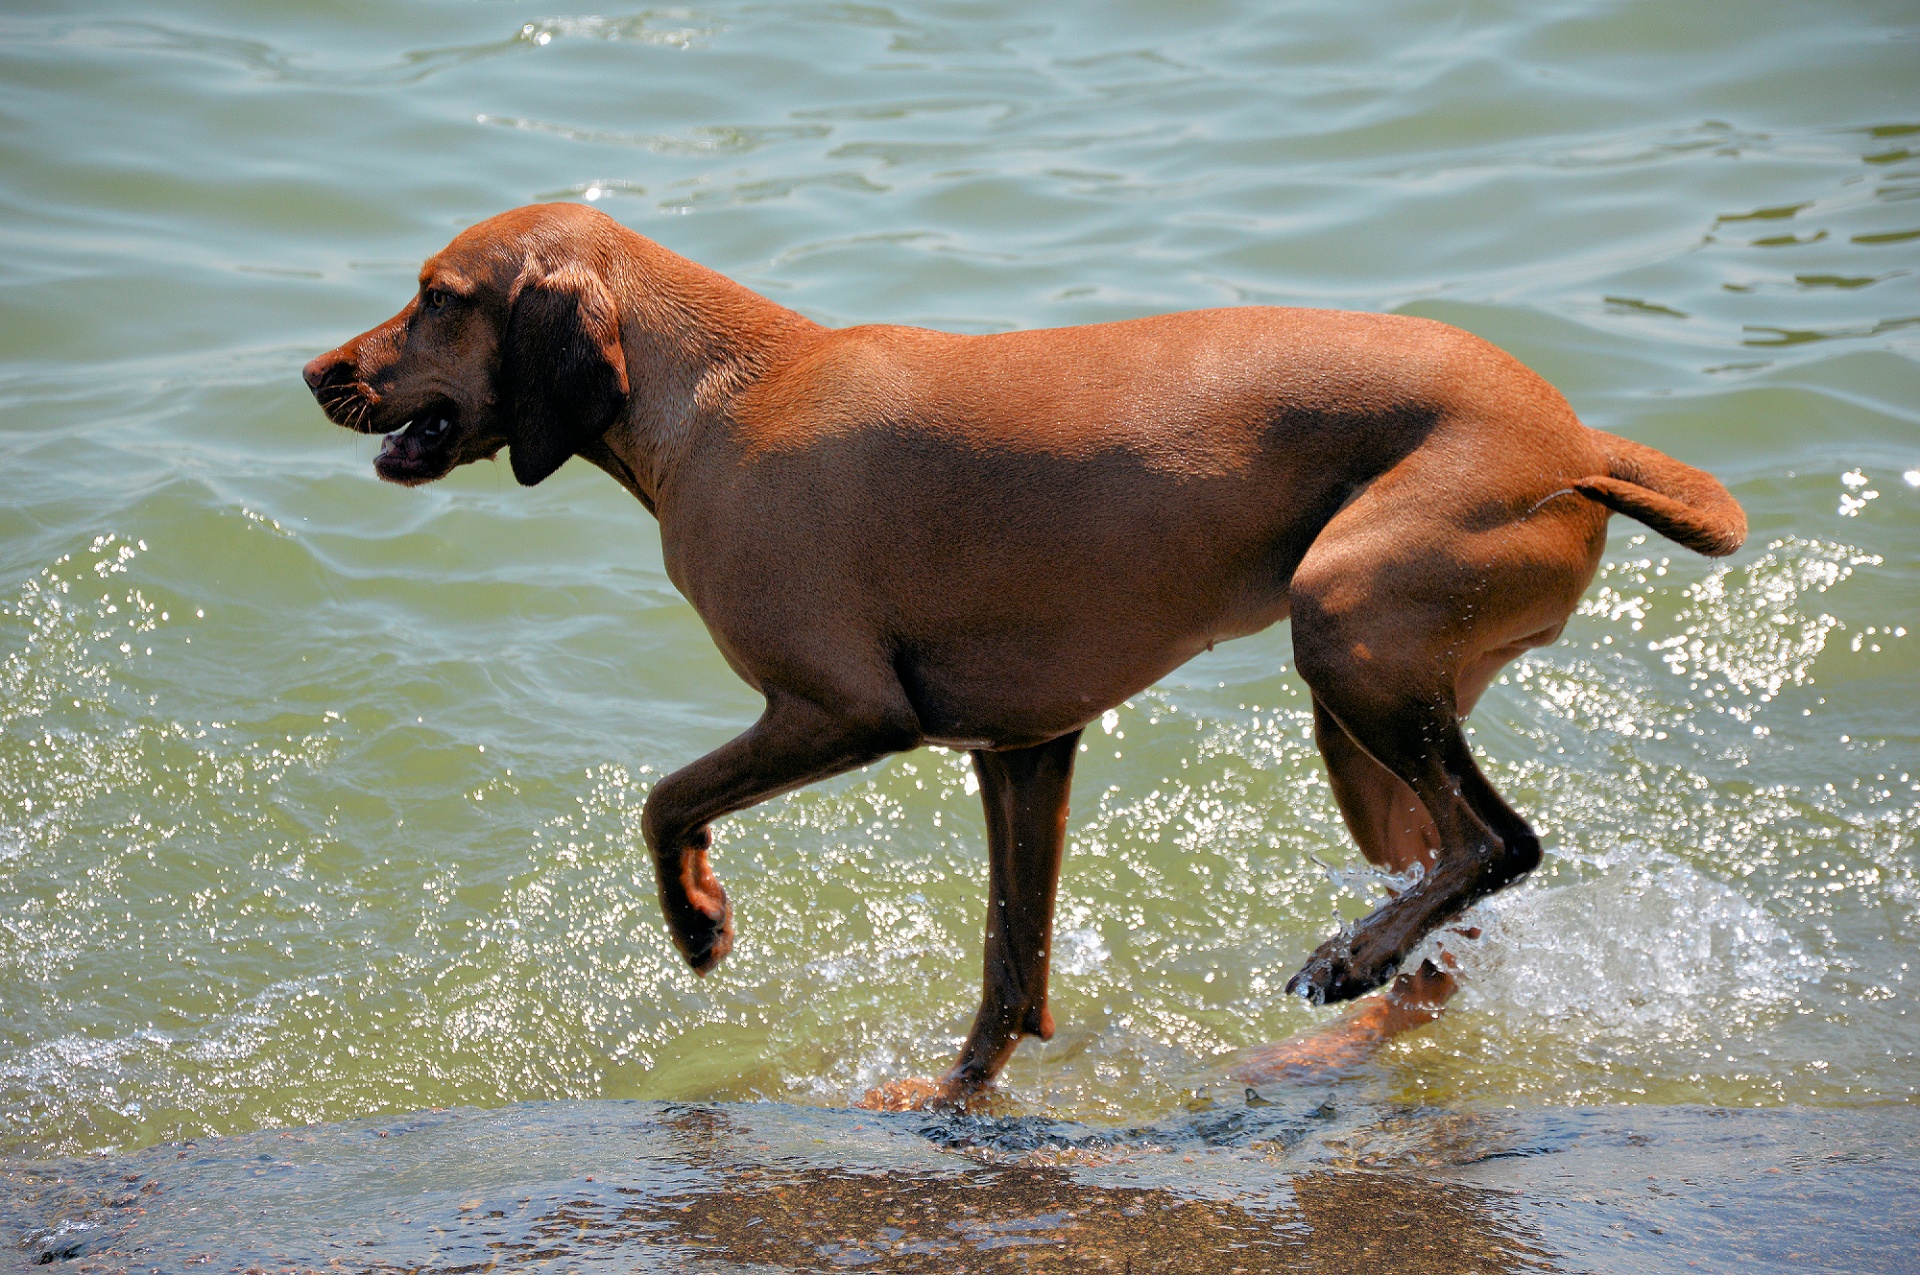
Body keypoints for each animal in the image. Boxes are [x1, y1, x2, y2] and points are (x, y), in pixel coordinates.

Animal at [299, 204, 1743, 1098]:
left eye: (437, 299)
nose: (316, 371)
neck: (714, 395)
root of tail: (1576, 442)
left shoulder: (840, 710)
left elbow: (663, 799)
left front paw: (700, 923)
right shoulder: (1024, 747)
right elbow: (1010, 972)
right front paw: (950, 1100)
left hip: (1347, 629)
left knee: (1503, 842)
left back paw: (1347, 960)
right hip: (1364, 717)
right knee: (1453, 905)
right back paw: (1349, 1022)